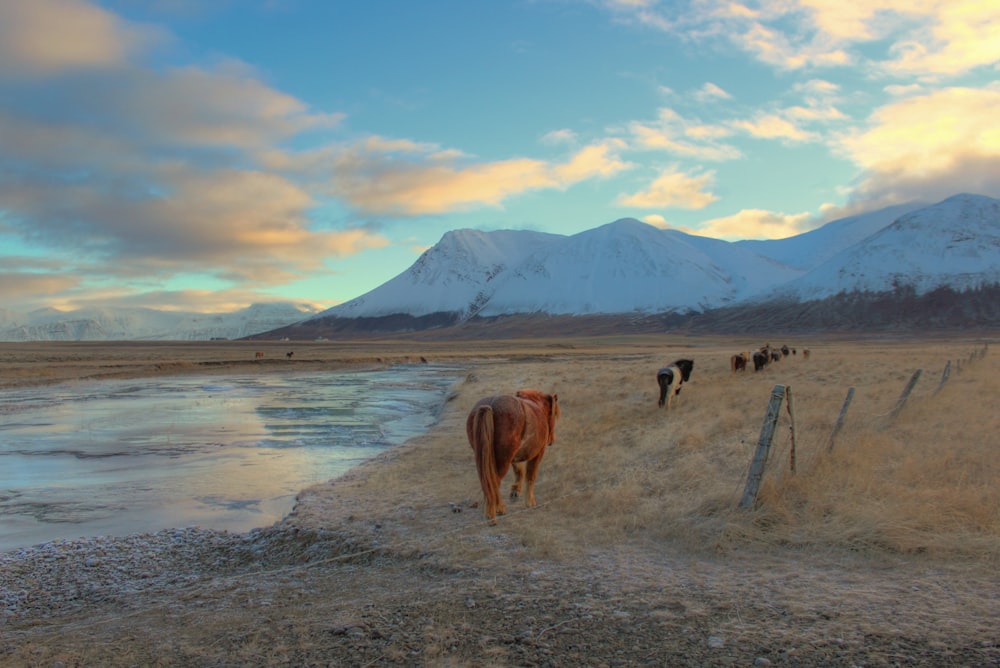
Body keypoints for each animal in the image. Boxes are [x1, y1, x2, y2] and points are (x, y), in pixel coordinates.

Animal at [464, 388, 560, 524]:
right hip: (502, 461)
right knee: (494, 482)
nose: (552, 440)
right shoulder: (538, 454)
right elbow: (531, 476)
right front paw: (530, 502)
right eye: (554, 415)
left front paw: (515, 491)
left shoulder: (514, 457)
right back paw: (496, 510)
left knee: (487, 482)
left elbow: (519, 471)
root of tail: (490, 405)